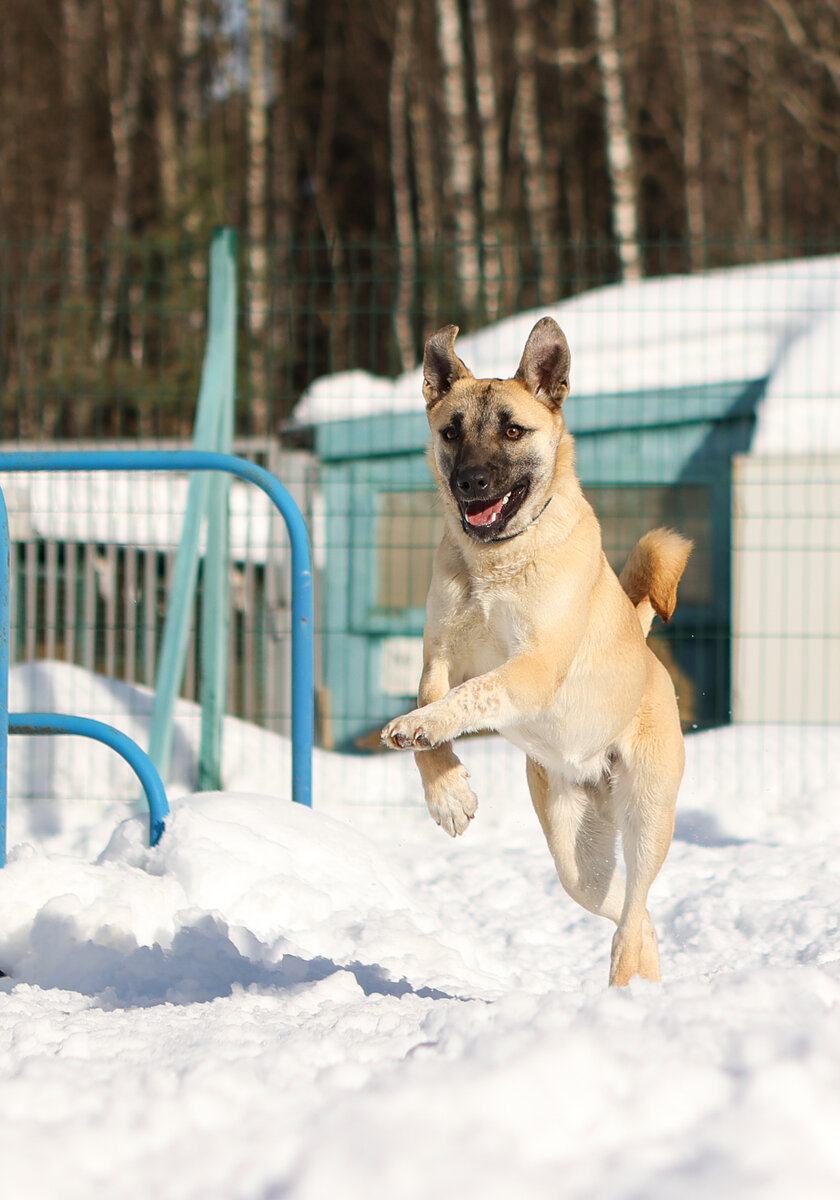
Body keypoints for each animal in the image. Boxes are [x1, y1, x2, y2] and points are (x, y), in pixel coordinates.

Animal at [381, 319, 691, 984]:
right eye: (450, 431)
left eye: (513, 430)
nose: (470, 483)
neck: (498, 560)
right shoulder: (438, 657)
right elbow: (434, 709)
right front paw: (448, 796)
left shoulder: (534, 665)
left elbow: (474, 695)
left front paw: (423, 730)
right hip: (576, 855)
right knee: (630, 907)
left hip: (649, 811)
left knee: (637, 902)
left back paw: (624, 975)